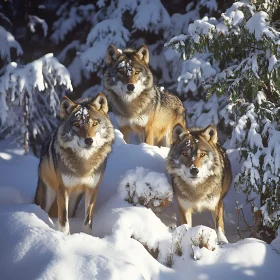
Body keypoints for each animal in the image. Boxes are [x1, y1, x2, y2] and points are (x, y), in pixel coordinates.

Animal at [34, 92, 114, 234]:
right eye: (77, 125)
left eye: (94, 124)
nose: (89, 140)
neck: (84, 164)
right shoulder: (62, 189)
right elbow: (64, 220)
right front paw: (64, 236)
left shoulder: (92, 189)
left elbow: (88, 220)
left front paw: (86, 236)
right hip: (48, 194)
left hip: (74, 200)